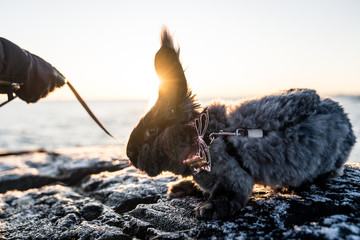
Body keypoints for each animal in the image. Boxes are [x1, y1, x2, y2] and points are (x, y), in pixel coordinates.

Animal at [126, 27, 354, 218]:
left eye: (152, 130)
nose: (129, 155)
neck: (204, 137)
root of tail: (349, 128)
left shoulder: (234, 177)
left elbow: (228, 196)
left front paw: (205, 210)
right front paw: (179, 187)